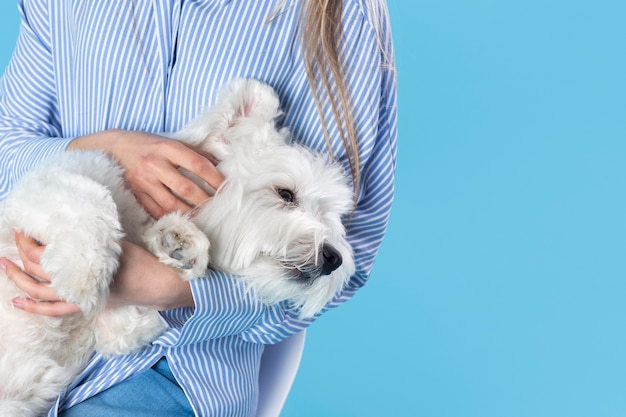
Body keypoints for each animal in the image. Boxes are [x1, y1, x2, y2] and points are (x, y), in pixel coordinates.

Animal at [0, 79, 352, 414]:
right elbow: (91, 198)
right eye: (286, 194)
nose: (333, 258)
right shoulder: (35, 194)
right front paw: (84, 278)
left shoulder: (114, 328)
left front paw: (177, 243)